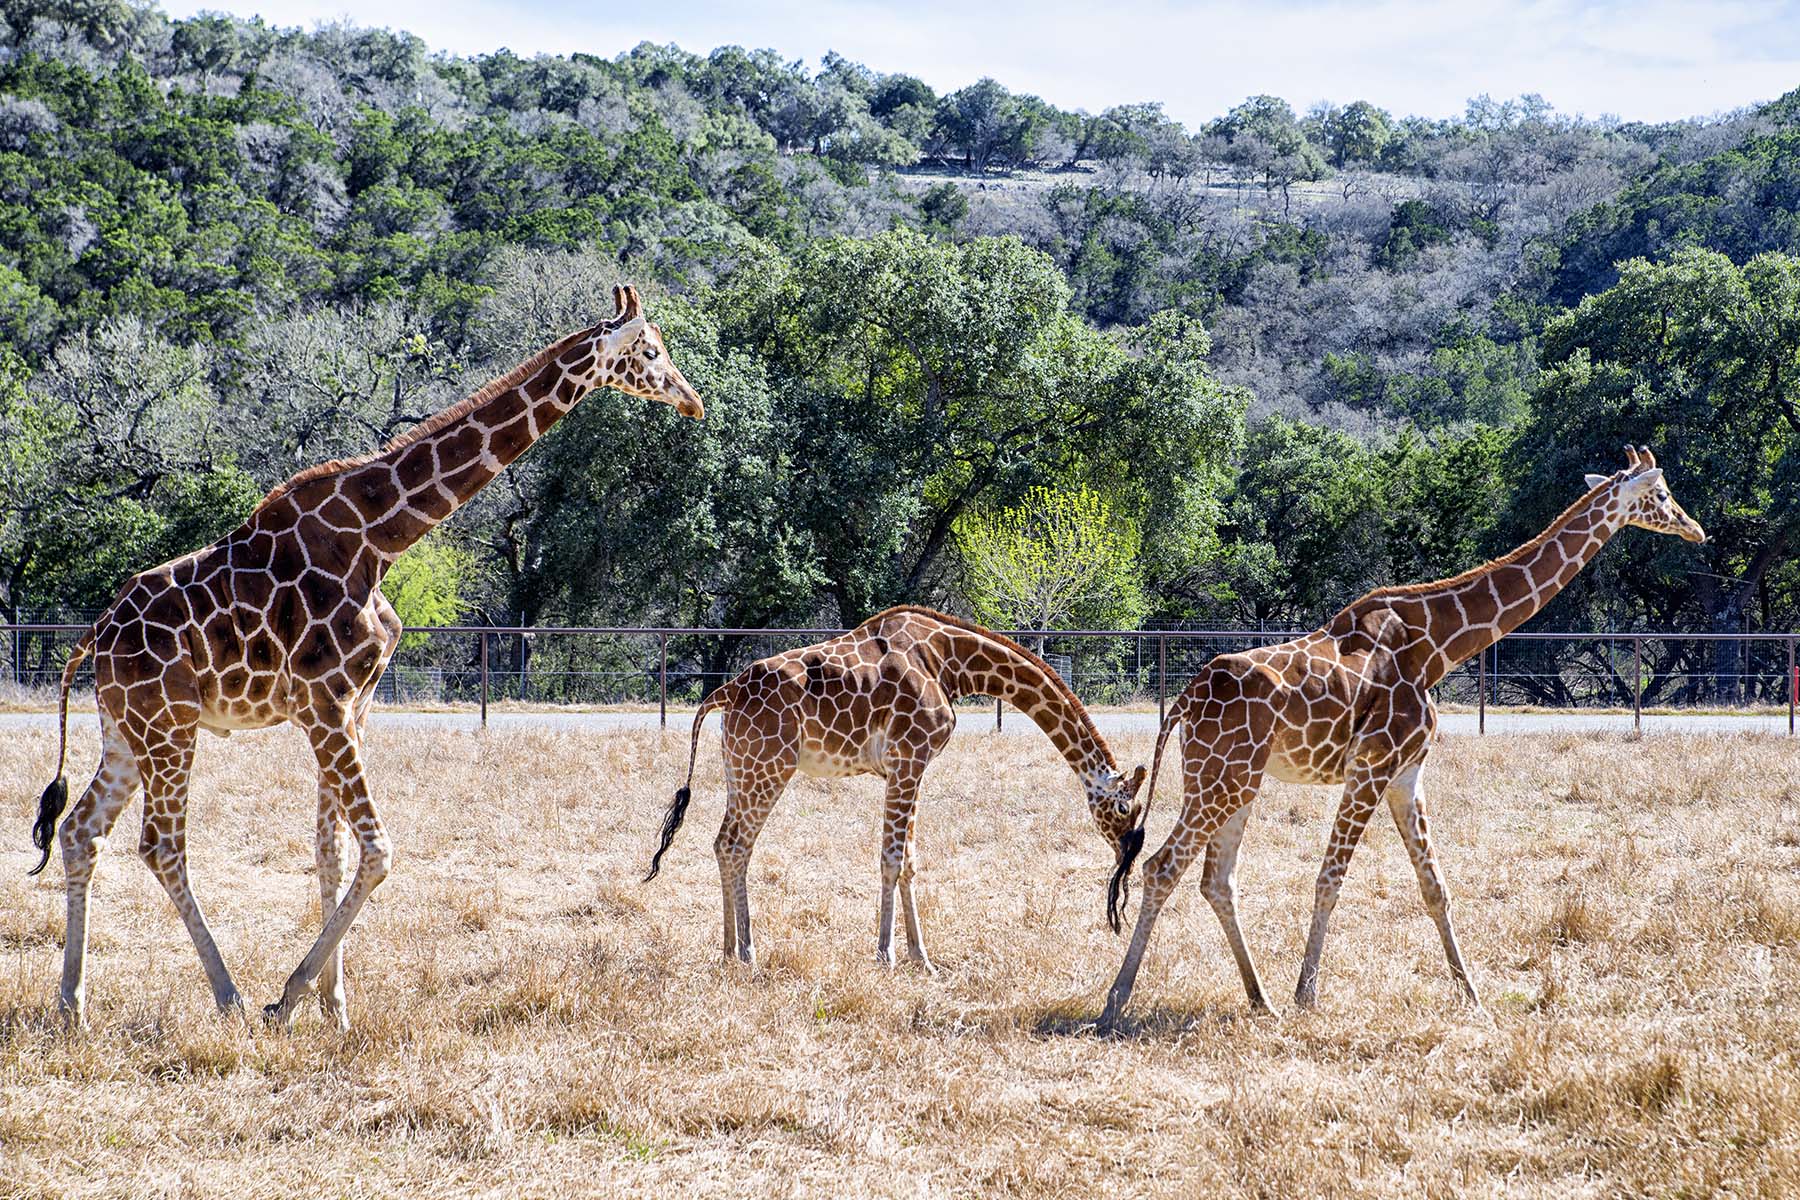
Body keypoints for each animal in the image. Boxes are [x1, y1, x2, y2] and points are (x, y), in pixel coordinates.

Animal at [29, 286, 702, 1029]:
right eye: (651, 350)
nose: (693, 400)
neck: (380, 538)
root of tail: (97, 633)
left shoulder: (355, 704)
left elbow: (332, 849)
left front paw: (334, 1007)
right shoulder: (324, 703)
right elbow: (378, 849)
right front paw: (289, 998)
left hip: (127, 728)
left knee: (82, 831)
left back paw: (71, 1004)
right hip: (170, 726)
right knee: (161, 845)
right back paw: (229, 997)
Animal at [651, 611, 1152, 978]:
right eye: (1124, 808)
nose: (1126, 859)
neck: (950, 663)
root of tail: (724, 692)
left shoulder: (912, 767)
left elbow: (910, 861)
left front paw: (922, 958)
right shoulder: (908, 759)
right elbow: (891, 860)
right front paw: (886, 955)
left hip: (740, 767)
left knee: (724, 842)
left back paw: (727, 951)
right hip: (768, 766)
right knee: (737, 844)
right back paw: (749, 953)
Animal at [1094, 446, 1699, 1029]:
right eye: (1662, 494)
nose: (1695, 529)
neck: (1436, 645)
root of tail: (1185, 700)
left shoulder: (1407, 773)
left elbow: (1435, 886)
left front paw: (1472, 996)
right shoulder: (1372, 765)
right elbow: (1330, 879)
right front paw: (1307, 995)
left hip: (1234, 780)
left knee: (1216, 880)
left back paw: (1259, 1000)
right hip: (1223, 777)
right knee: (1162, 868)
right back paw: (1115, 1002)